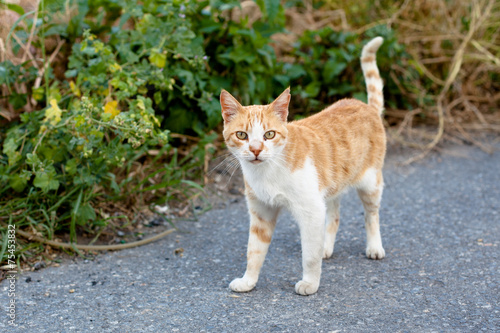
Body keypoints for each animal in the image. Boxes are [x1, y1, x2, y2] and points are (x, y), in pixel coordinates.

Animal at [220, 37, 386, 296]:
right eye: (242, 135)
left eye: (269, 134)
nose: (256, 150)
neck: (267, 172)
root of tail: (366, 106)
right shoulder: (261, 213)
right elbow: (253, 252)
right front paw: (248, 281)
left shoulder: (310, 211)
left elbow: (309, 254)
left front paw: (310, 283)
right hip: (330, 188)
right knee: (334, 216)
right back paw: (326, 246)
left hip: (370, 184)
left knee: (371, 216)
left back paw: (374, 246)